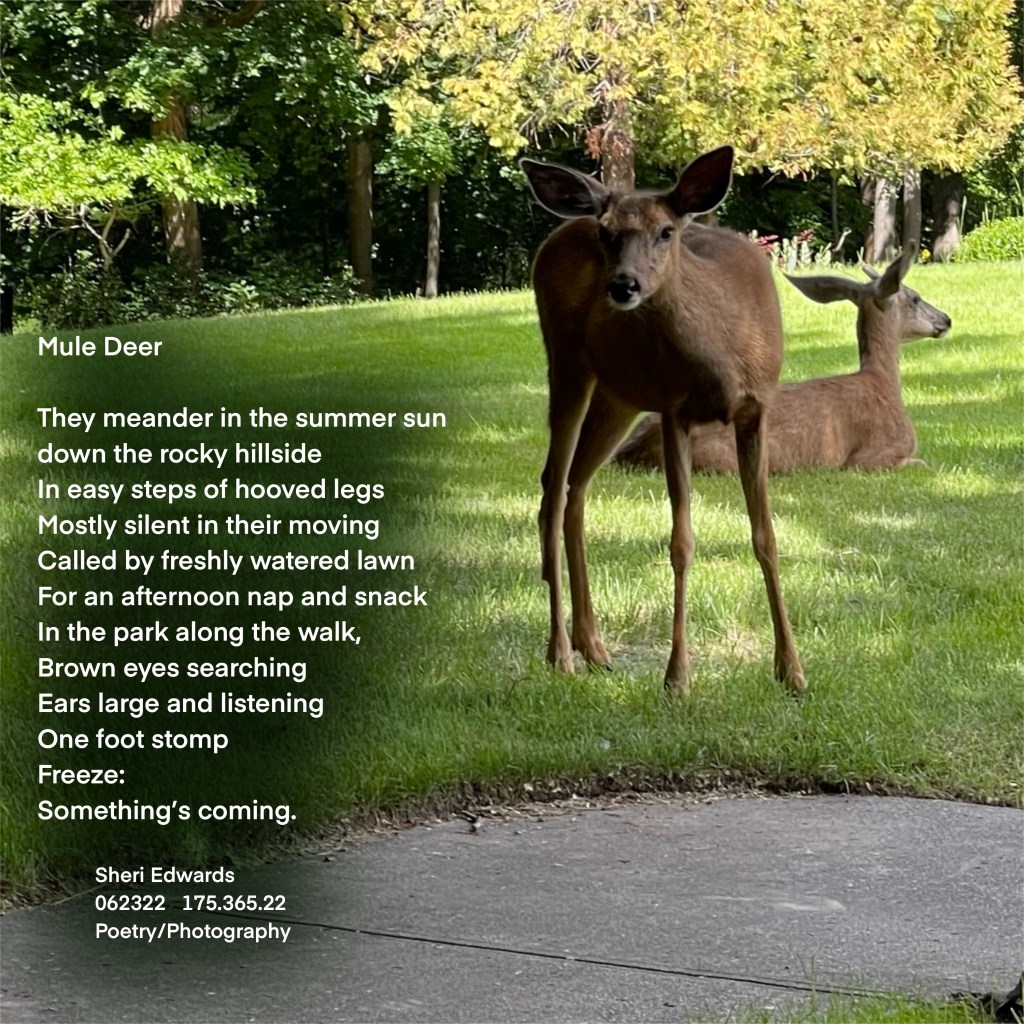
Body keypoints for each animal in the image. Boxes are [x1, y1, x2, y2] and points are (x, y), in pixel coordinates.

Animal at [521, 146, 805, 696]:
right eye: (606, 232)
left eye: (666, 231)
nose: (623, 285)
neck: (721, 357)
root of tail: (557, 232)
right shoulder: (676, 409)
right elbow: (682, 543)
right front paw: (677, 678)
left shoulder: (756, 409)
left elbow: (766, 537)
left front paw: (792, 671)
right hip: (566, 360)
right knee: (552, 487)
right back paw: (560, 652)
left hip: (619, 393)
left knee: (576, 487)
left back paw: (594, 647)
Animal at [611, 244, 951, 473]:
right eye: (915, 297)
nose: (946, 320)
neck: (884, 384)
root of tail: (626, 452)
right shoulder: (869, 458)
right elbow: (924, 463)